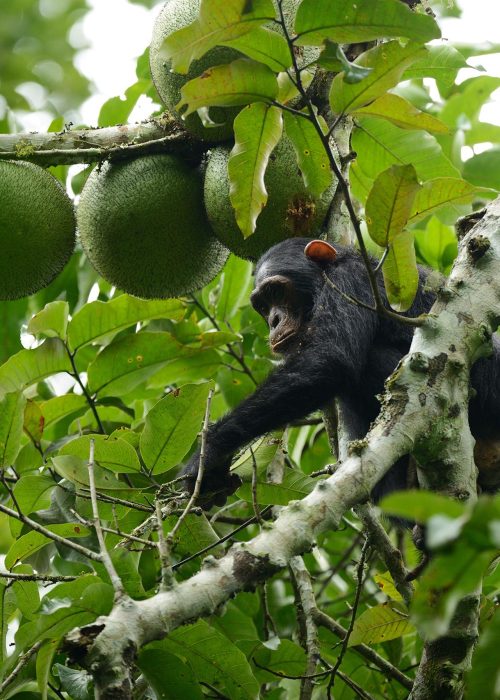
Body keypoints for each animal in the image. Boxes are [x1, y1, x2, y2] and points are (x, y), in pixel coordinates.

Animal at [182, 238, 500, 506]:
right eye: (262, 305)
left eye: (276, 292)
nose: (273, 320)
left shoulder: (349, 281)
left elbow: (329, 360)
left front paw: (210, 452)